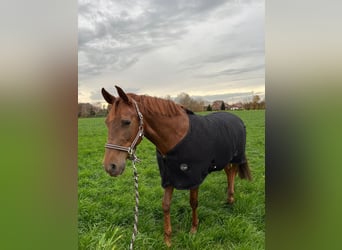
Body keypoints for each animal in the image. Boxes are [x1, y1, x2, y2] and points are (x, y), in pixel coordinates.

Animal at [101, 85, 251, 246]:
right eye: (106, 122)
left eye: (126, 122)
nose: (111, 166)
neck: (176, 138)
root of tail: (237, 118)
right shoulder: (169, 176)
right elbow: (166, 205)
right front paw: (167, 239)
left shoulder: (194, 177)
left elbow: (193, 202)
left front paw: (194, 229)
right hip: (224, 160)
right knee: (229, 172)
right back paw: (229, 198)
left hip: (236, 157)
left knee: (232, 173)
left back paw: (231, 198)